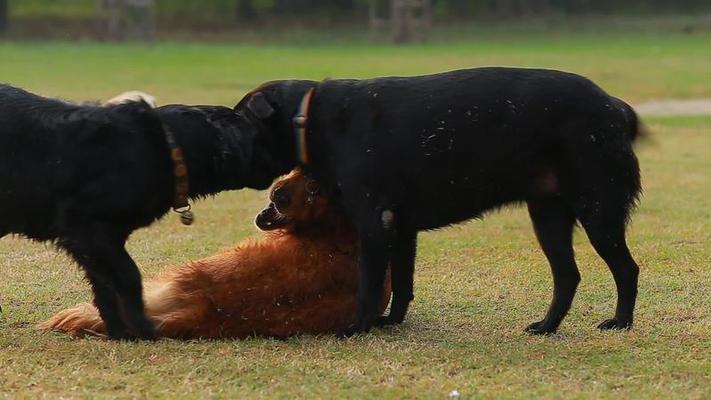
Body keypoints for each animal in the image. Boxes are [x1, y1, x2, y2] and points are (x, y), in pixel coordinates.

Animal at [0, 86, 284, 340]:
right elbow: (129, 276)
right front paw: (142, 326)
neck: (166, 148)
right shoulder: (85, 229)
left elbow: (105, 286)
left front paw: (119, 331)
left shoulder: (101, 241)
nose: (285, 163)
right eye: (256, 138)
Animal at [238, 67, 644, 336]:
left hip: (599, 212)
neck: (309, 119)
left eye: (239, 123)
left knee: (626, 269)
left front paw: (358, 327)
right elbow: (402, 284)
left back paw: (620, 322)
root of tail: (614, 107)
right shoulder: (399, 227)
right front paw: (391, 322)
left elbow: (370, 285)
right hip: (549, 216)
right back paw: (547, 326)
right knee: (567, 275)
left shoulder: (373, 223)